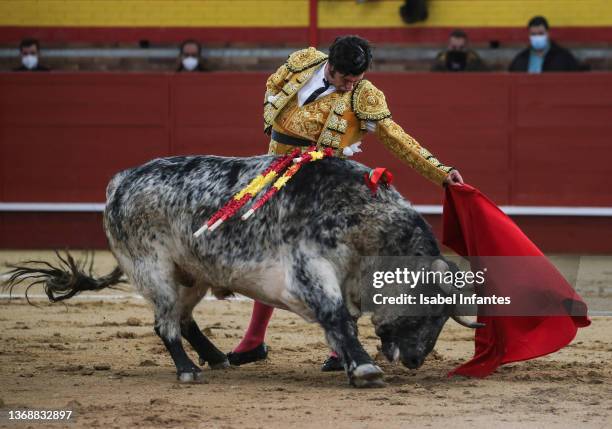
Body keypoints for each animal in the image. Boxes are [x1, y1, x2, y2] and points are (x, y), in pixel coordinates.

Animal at [5, 155, 482, 388]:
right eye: (428, 307)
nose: (417, 361)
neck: (364, 222)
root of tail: (120, 180)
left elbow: (340, 324)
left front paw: (350, 365)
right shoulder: (309, 271)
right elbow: (337, 318)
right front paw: (364, 369)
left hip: (193, 272)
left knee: (185, 318)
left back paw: (216, 358)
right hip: (153, 267)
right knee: (165, 324)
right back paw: (188, 370)